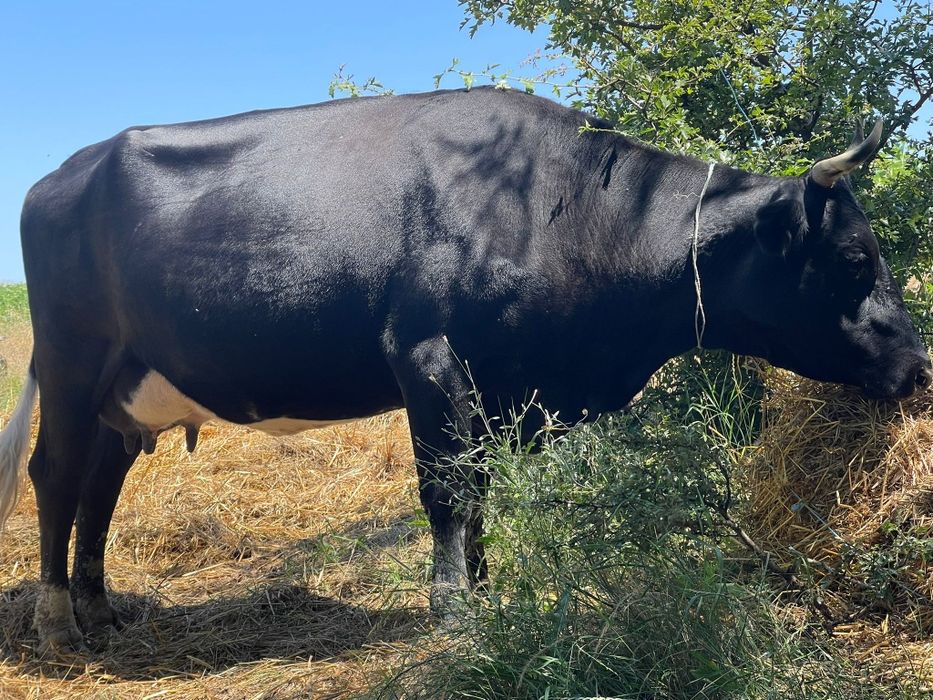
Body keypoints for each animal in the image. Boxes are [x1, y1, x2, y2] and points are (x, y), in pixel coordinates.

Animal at [0, 87, 929, 654]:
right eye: (853, 258)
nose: (919, 367)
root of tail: (62, 173)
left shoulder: (501, 391)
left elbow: (479, 493)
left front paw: (483, 592)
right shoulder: (430, 360)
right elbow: (448, 490)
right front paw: (452, 610)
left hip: (126, 394)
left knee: (98, 487)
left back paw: (100, 611)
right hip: (72, 361)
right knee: (55, 476)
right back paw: (56, 622)